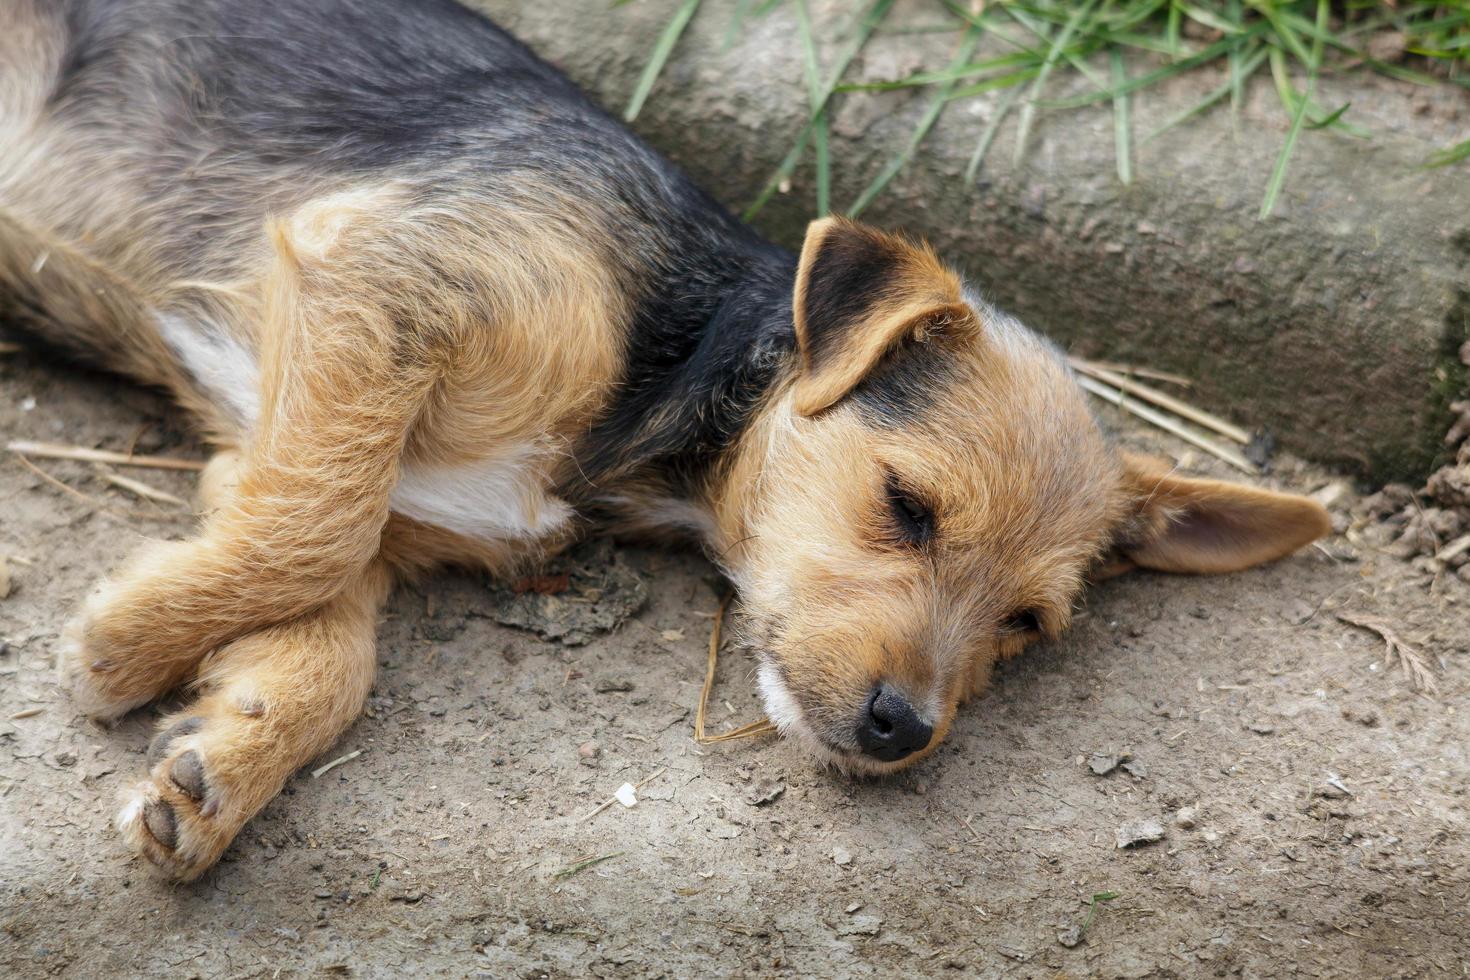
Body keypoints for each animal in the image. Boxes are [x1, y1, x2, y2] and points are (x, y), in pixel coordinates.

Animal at [0, 0, 1334, 881]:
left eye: (1026, 625)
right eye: (907, 504)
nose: (903, 730)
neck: (675, 364)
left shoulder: (319, 445)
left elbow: (324, 609)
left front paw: (221, 760)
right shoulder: (380, 281)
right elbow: (312, 528)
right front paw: (121, 646)